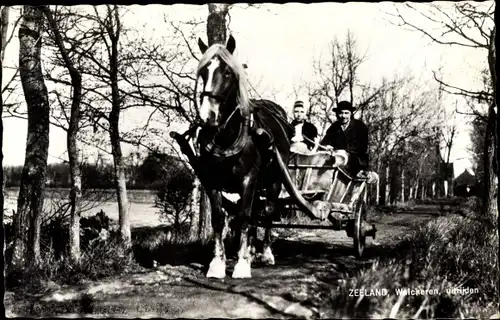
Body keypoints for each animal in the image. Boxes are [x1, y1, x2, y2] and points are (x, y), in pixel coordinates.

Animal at [194, 36, 292, 278]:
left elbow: (244, 217)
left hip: (275, 179)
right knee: (257, 212)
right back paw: (251, 251)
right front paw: (217, 264)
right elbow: (219, 219)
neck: (226, 136)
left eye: (228, 72)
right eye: (204, 72)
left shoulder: (248, 179)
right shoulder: (211, 181)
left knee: (267, 212)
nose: (207, 117)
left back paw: (265, 253)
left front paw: (241, 265)